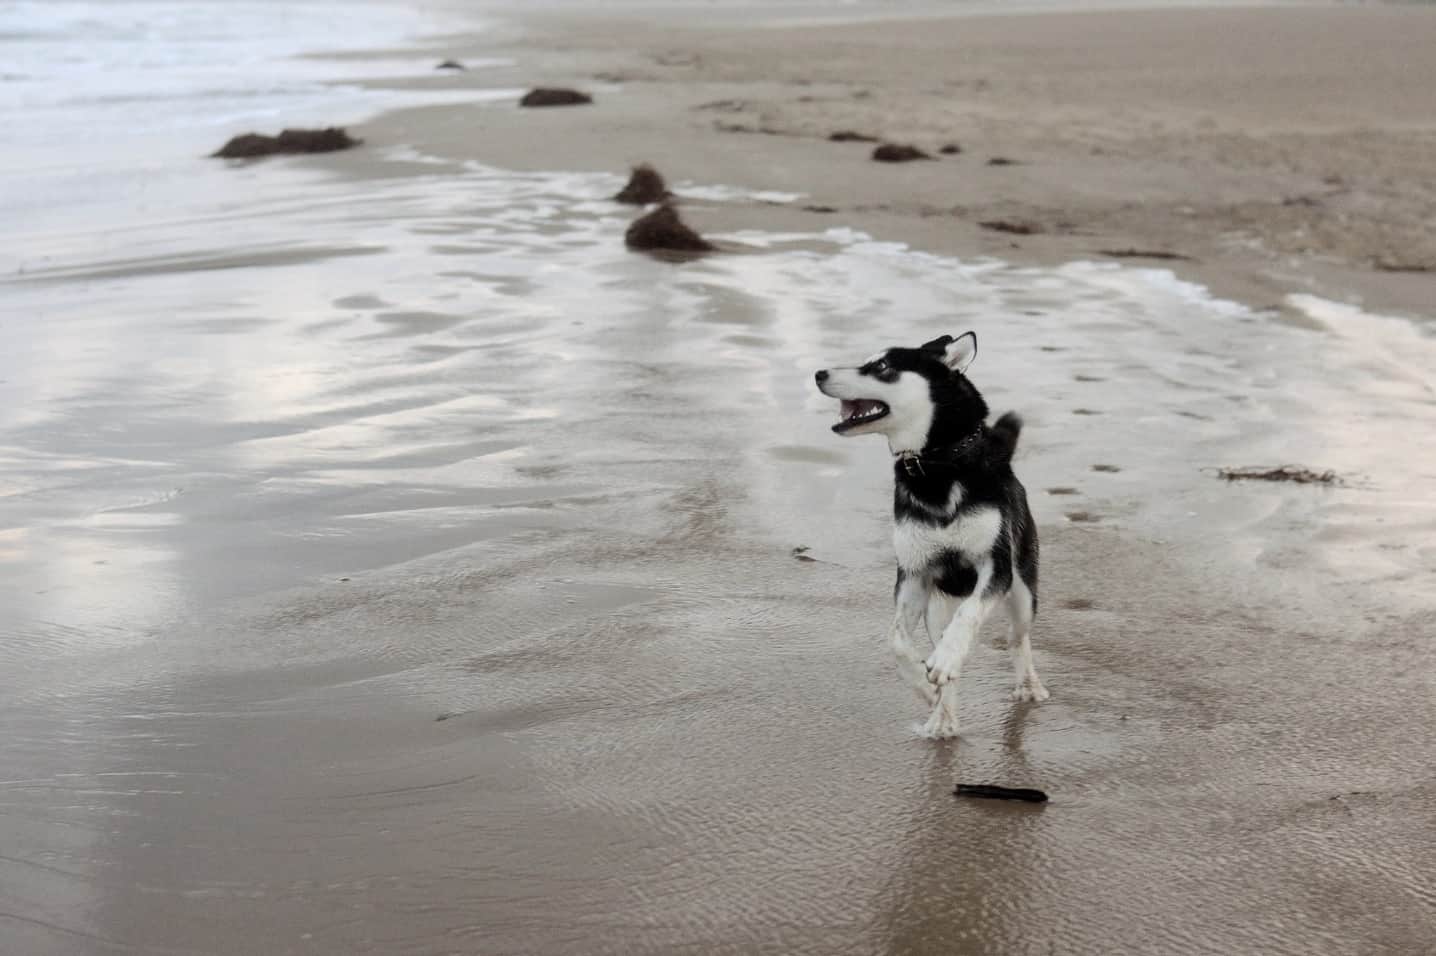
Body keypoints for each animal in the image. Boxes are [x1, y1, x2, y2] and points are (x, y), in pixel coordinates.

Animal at [821, 331, 1045, 740]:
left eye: (882, 366)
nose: (819, 373)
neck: (935, 465)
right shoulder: (915, 573)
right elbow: (896, 640)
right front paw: (925, 688)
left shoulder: (995, 566)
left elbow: (970, 615)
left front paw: (945, 661)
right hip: (937, 608)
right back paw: (943, 717)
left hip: (1023, 592)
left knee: (1016, 637)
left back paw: (1027, 685)